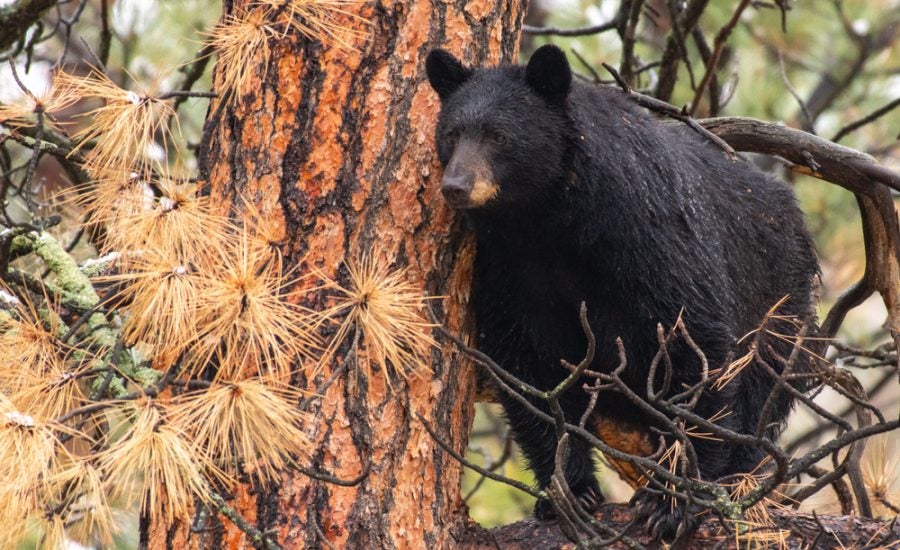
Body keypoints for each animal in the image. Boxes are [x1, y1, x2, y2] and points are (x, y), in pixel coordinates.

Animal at [426, 45, 820, 540]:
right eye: (452, 133)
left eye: (499, 136)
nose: (455, 186)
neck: (551, 220)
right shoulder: (508, 266)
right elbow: (528, 367)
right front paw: (569, 492)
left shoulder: (649, 233)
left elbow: (694, 342)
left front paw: (672, 500)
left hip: (780, 306)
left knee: (761, 392)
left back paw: (735, 481)